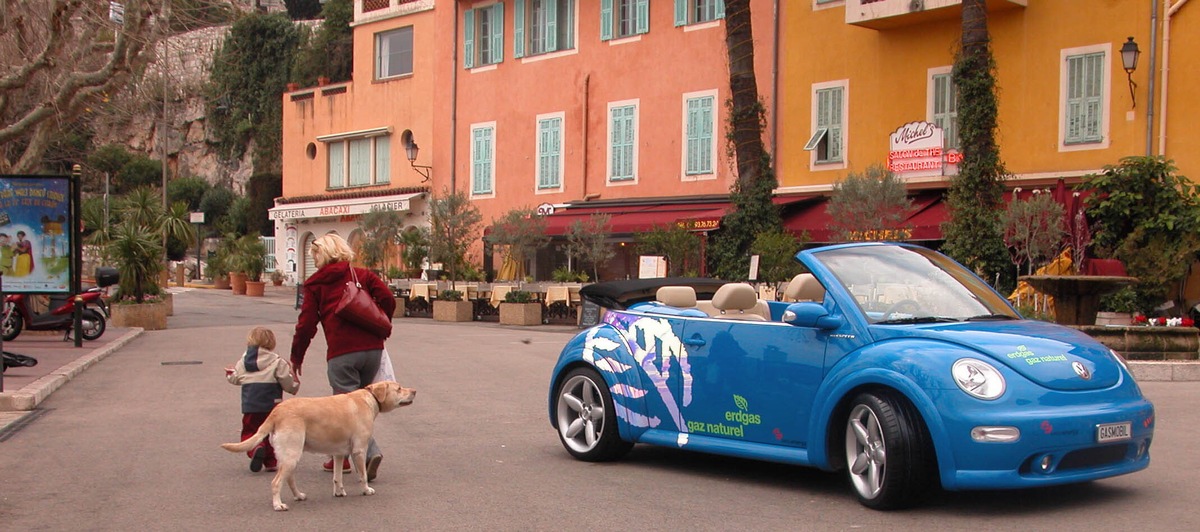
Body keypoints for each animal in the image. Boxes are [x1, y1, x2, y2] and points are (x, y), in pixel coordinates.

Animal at [222, 381, 417, 509]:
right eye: (399, 388)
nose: (414, 391)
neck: (369, 399)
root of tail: (276, 411)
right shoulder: (359, 450)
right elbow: (363, 475)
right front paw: (366, 490)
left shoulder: (339, 453)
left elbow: (337, 476)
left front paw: (339, 492)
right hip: (292, 454)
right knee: (276, 482)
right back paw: (278, 505)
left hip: (289, 455)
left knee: (289, 478)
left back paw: (298, 496)